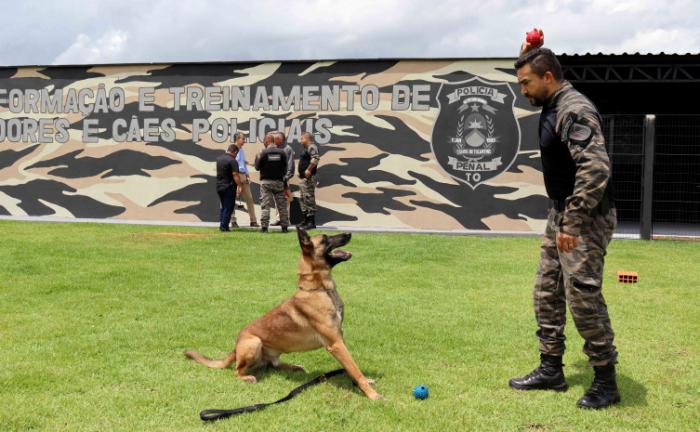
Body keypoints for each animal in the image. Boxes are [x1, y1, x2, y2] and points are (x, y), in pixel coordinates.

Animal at [183, 228, 380, 400]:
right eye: (325, 239)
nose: (349, 233)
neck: (320, 289)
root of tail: (235, 347)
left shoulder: (339, 340)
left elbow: (351, 369)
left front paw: (364, 383)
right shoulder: (336, 344)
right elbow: (354, 369)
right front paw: (371, 394)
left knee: (273, 365)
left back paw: (294, 367)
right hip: (254, 343)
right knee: (237, 370)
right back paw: (247, 377)